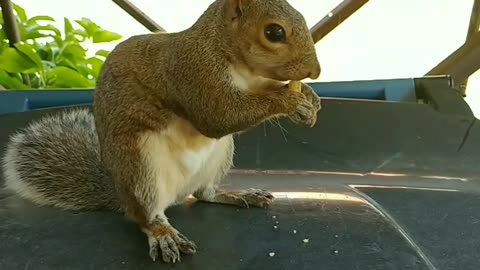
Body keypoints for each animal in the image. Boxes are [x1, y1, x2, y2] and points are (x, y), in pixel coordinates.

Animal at [1, 0, 322, 264]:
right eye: (274, 33)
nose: (315, 72)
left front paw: (309, 98)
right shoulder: (193, 73)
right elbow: (218, 116)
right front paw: (289, 100)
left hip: (219, 155)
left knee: (204, 194)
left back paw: (236, 194)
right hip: (142, 167)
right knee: (146, 216)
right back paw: (163, 233)